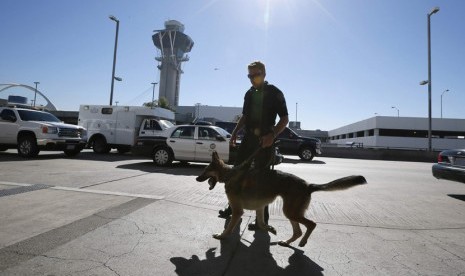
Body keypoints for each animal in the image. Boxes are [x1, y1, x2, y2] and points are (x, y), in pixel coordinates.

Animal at [194, 151, 364, 248]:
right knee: (298, 231)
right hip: (291, 212)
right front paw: (271, 229)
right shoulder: (260, 208)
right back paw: (287, 242)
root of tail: (308, 185)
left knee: (311, 225)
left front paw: (221, 236)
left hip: (290, 212)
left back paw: (302, 242)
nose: (196, 178)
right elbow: (262, 224)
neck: (229, 174)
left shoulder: (237, 211)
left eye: (205, 170)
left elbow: (228, 228)